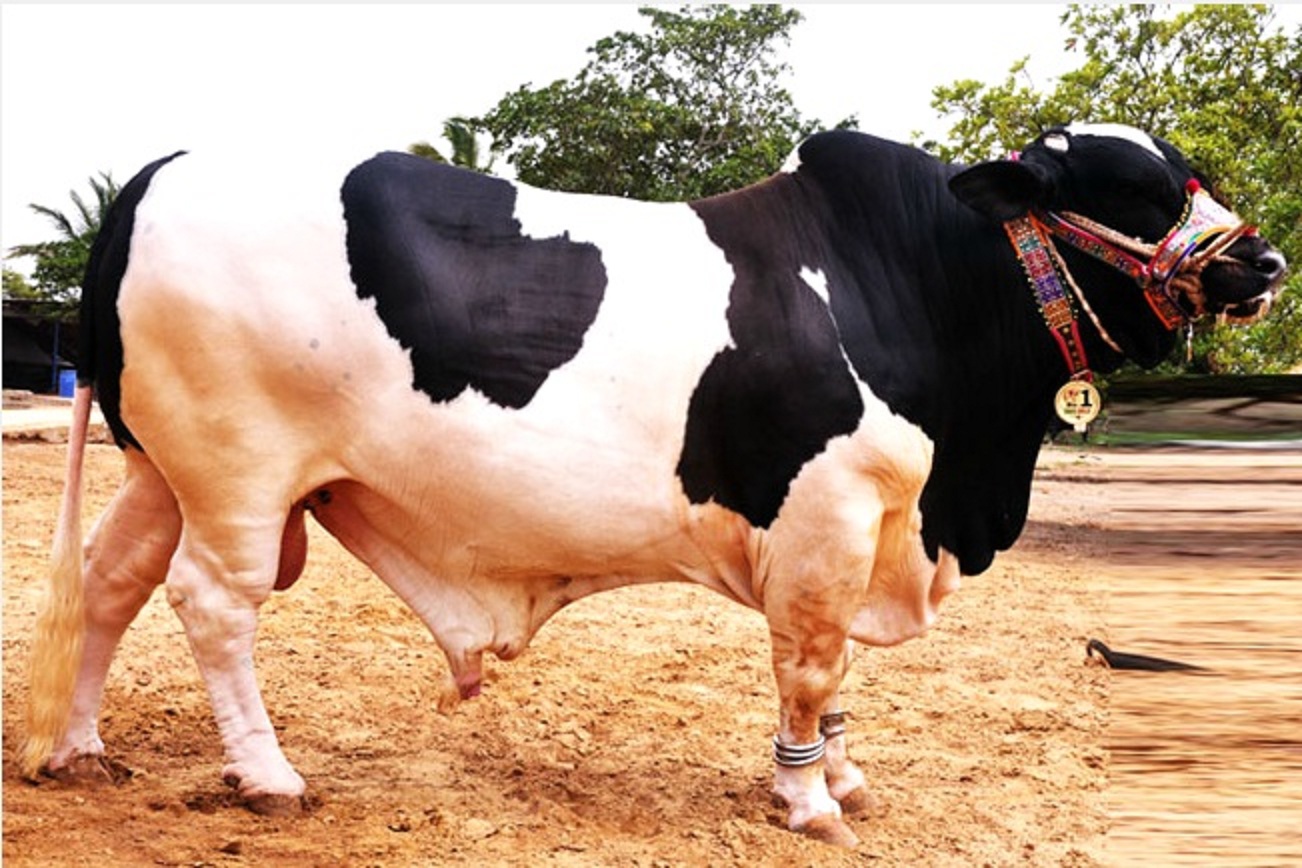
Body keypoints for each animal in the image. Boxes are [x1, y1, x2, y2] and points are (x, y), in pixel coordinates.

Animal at [24, 123, 1286, 847]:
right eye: (1134, 188)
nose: (1266, 261)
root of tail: (156, 175)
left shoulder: (871, 526)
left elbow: (832, 678)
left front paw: (843, 771)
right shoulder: (830, 516)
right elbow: (810, 666)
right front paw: (807, 797)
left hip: (162, 469)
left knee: (113, 578)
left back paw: (80, 748)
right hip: (236, 472)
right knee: (213, 604)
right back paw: (268, 774)